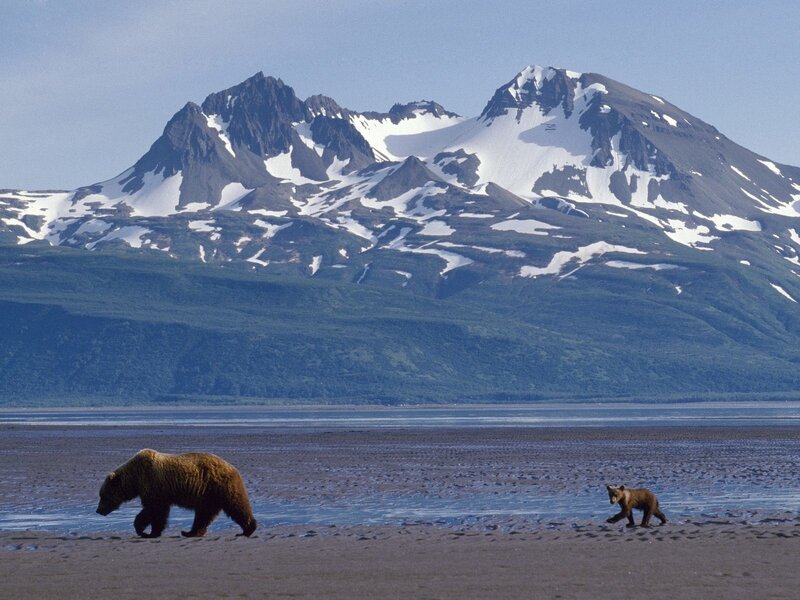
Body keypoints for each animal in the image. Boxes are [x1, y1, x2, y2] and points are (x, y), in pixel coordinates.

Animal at [96, 449, 257, 538]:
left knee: (236, 505)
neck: (135, 478)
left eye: (102, 495)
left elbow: (154, 510)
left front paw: (145, 531)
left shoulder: (153, 485)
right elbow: (156, 511)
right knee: (204, 514)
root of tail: (232, 467)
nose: (98, 510)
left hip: (220, 486)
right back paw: (190, 532)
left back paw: (247, 529)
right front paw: (148, 531)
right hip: (209, 495)